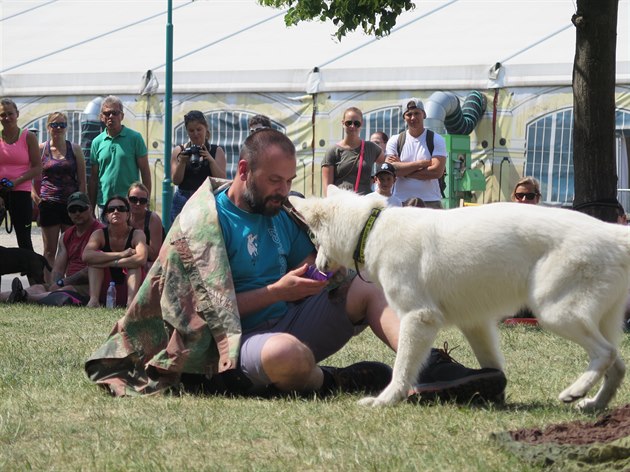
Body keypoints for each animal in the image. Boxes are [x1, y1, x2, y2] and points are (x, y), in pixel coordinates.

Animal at [292, 185, 630, 410]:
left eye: (313, 237)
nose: (317, 266)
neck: (371, 227)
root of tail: (613, 232)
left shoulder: (418, 318)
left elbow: (402, 368)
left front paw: (385, 400)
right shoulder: (476, 323)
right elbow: (492, 364)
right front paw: (494, 390)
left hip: (554, 312)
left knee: (604, 353)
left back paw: (576, 391)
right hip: (595, 319)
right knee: (617, 363)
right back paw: (595, 404)